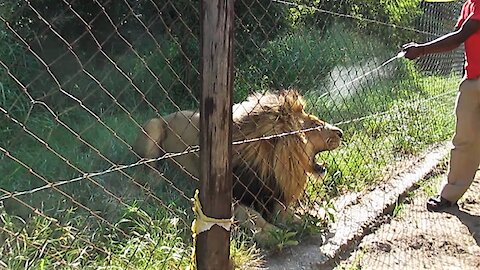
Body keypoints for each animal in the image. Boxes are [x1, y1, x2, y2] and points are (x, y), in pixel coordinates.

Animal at [132, 89, 342, 245]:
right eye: (315, 125)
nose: (340, 132)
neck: (267, 164)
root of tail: (166, 115)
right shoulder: (227, 200)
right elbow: (252, 216)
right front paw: (271, 233)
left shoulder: (271, 194)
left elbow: (287, 213)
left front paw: (308, 220)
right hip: (153, 127)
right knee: (148, 165)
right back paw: (159, 178)